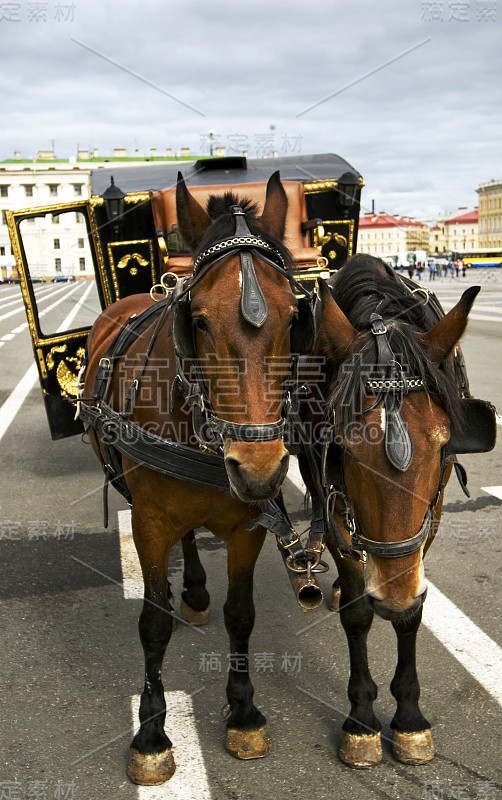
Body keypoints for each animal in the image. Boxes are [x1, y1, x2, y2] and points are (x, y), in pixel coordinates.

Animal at [80, 173, 308, 780]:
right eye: (199, 319)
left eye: (293, 317)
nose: (258, 469)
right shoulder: (150, 521)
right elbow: (153, 622)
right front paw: (151, 733)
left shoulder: (249, 525)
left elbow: (241, 614)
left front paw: (244, 712)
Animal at [310, 256, 486, 768]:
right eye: (343, 445)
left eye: (445, 440)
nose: (390, 596)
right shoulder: (333, 501)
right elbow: (357, 614)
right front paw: (362, 719)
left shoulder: (433, 515)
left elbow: (411, 616)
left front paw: (409, 718)